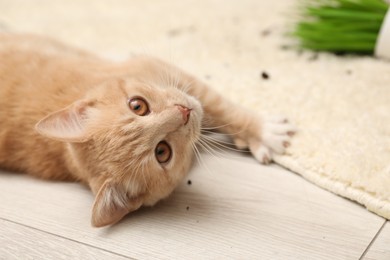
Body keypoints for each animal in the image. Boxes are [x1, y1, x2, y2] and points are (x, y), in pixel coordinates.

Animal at [0, 33, 294, 226]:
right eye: (162, 152)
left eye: (137, 105)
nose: (184, 112)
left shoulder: (163, 70)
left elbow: (219, 105)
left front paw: (258, 129)